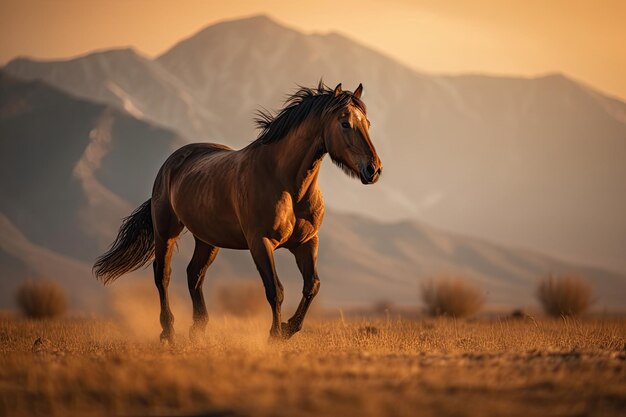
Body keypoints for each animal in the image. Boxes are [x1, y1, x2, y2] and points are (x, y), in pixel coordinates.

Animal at [94, 81, 380, 342]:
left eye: (367, 123)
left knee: (194, 274)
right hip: (166, 232)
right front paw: (274, 336)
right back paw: (168, 332)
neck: (286, 183)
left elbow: (312, 286)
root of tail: (171, 163)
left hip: (207, 240)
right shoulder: (260, 242)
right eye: (345, 123)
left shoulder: (307, 242)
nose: (373, 169)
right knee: (162, 274)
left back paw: (198, 330)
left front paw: (288, 328)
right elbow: (275, 290)